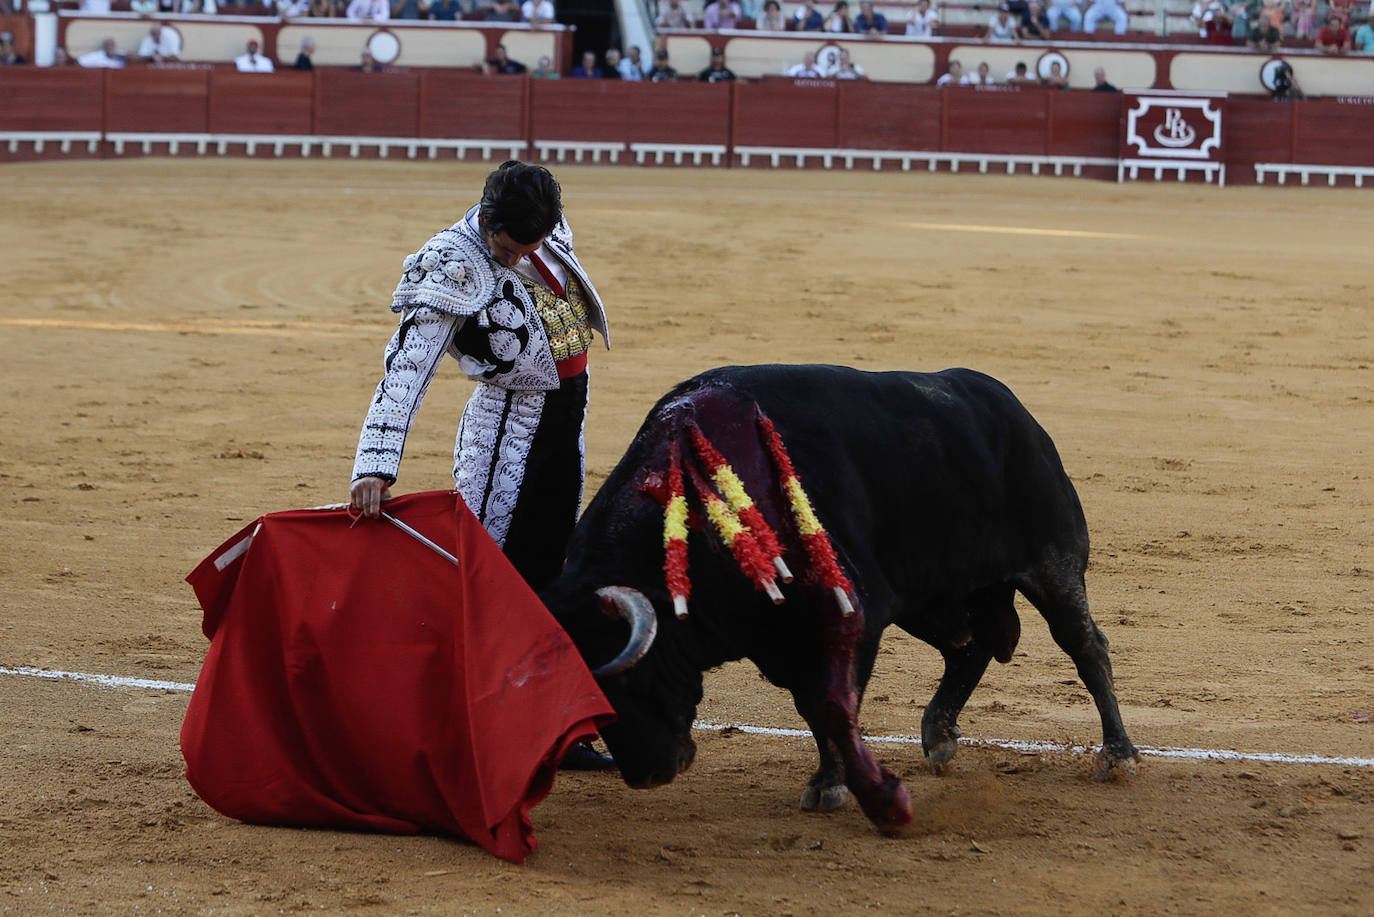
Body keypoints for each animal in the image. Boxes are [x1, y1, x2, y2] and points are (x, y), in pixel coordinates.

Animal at [541, 365, 1143, 830]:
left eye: (626, 682)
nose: (647, 774)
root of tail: (1014, 409)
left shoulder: (851, 614)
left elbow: (830, 706)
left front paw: (859, 794)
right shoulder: (784, 636)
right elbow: (813, 709)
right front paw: (831, 783)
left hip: (1053, 565)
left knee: (1086, 647)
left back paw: (1119, 757)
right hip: (929, 598)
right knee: (968, 648)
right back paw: (939, 736)